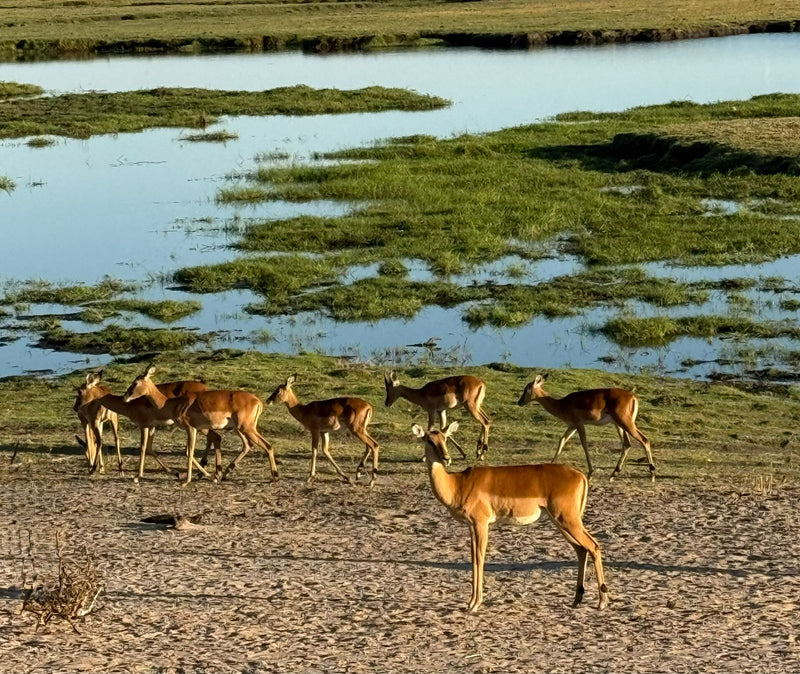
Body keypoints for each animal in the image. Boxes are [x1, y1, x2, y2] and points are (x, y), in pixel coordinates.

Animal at [76, 370, 222, 479]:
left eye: (80, 391)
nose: (76, 407)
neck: (130, 405)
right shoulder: (152, 426)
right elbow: (150, 449)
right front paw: (175, 472)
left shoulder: (144, 426)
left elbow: (142, 448)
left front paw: (137, 476)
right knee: (214, 438)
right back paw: (210, 473)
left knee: (213, 437)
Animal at [123, 365, 278, 486]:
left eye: (135, 382)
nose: (125, 397)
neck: (173, 404)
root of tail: (257, 400)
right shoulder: (195, 429)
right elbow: (188, 452)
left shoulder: (190, 428)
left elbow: (189, 452)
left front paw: (186, 481)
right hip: (241, 429)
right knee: (250, 445)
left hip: (246, 428)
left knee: (267, 445)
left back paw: (273, 477)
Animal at [413, 422, 609, 612]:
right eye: (429, 440)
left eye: (445, 438)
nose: (446, 458)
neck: (458, 484)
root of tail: (580, 475)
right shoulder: (471, 526)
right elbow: (473, 557)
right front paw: (470, 602)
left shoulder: (481, 523)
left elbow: (479, 558)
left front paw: (475, 604)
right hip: (562, 522)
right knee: (582, 550)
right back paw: (576, 601)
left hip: (568, 520)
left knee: (594, 546)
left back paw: (601, 602)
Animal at [517, 373, 655, 482]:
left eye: (526, 389)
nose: (519, 402)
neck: (561, 404)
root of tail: (633, 397)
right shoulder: (572, 425)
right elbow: (562, 441)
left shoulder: (579, 424)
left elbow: (584, 444)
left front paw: (590, 473)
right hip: (619, 425)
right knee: (627, 444)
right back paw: (613, 475)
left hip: (625, 423)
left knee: (644, 440)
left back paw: (652, 474)